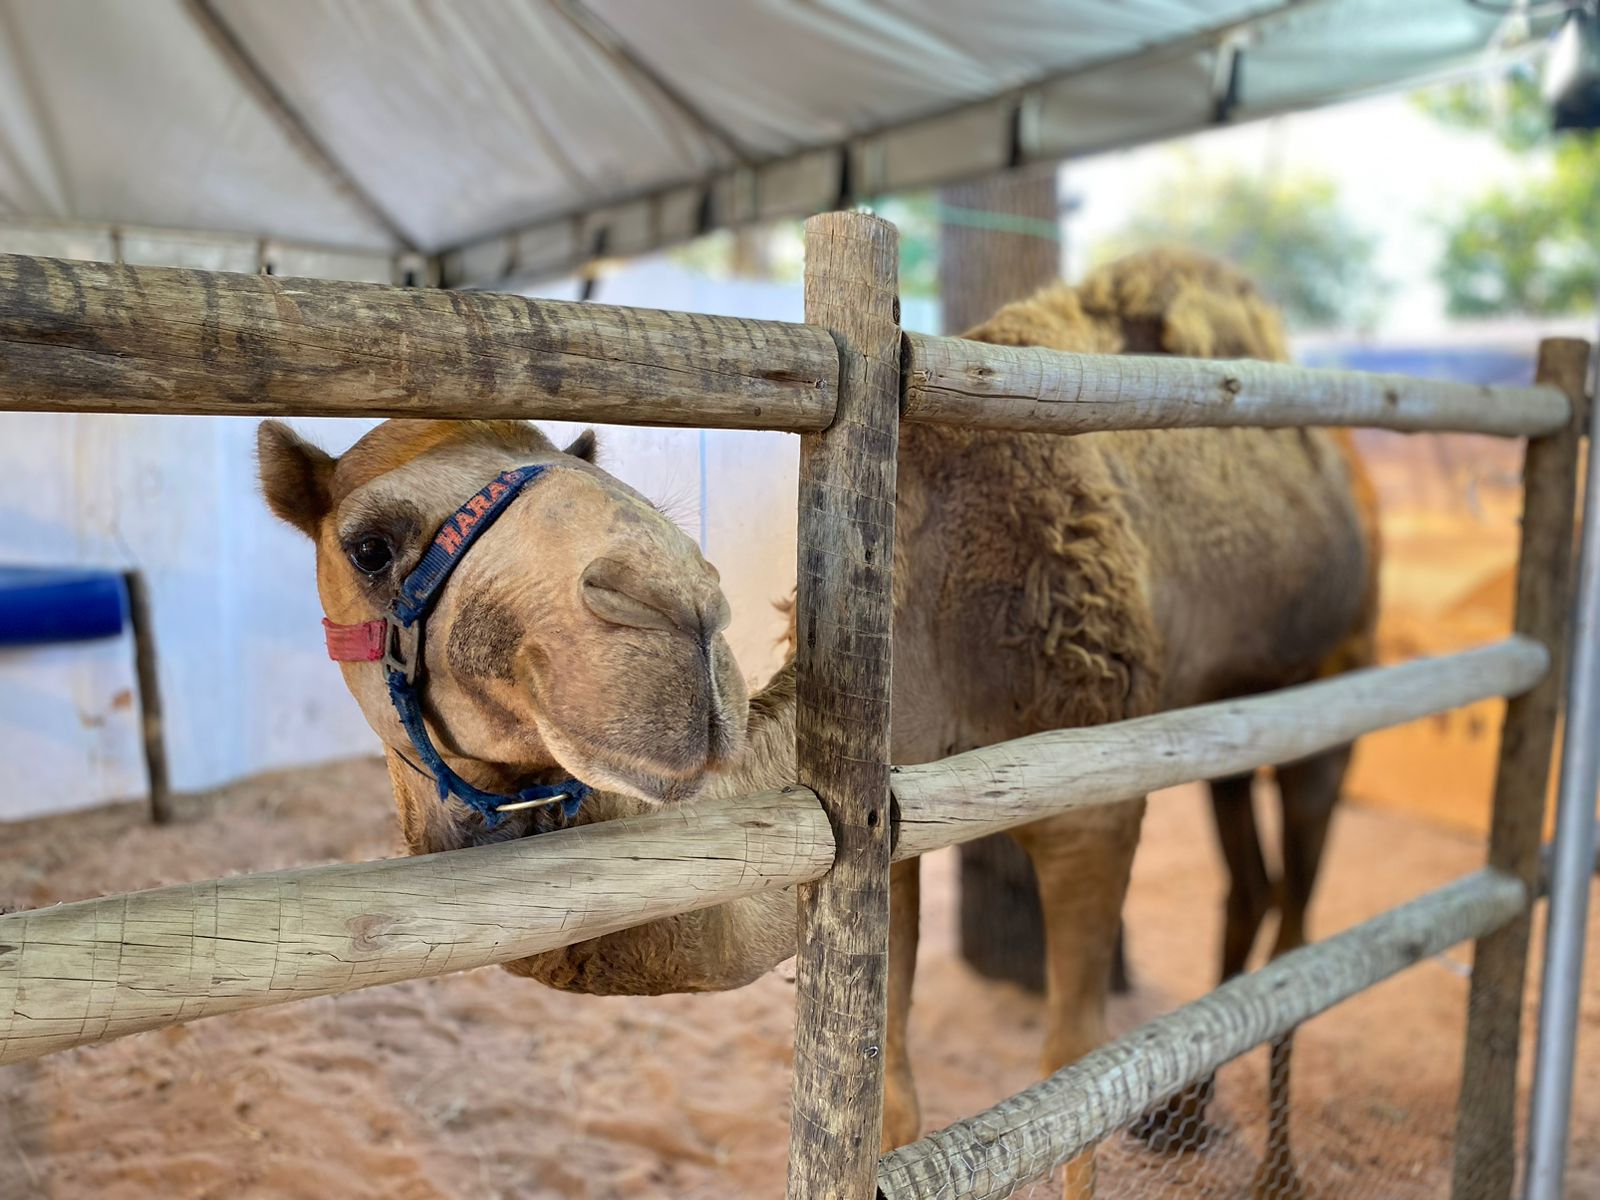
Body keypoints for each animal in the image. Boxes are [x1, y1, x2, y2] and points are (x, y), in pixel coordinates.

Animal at [259, 249, 1376, 1196]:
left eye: (613, 481)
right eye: (368, 545)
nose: (679, 609)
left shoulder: (1091, 797)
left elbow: (1074, 1076)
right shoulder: (898, 819)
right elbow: (893, 1095)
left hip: (1338, 679)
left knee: (1302, 910)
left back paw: (1275, 1167)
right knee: (1250, 885)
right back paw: (1189, 1123)